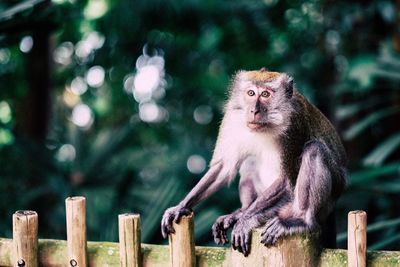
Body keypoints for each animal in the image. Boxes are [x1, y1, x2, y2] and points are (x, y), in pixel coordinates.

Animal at [160, 69, 346, 258]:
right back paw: (241, 211)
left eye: (265, 94)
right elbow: (223, 168)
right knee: (250, 161)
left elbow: (288, 179)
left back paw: (301, 220)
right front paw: (181, 206)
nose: (253, 110)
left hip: (323, 201)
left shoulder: (294, 125)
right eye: (250, 93)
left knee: (314, 149)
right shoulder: (232, 117)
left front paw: (245, 221)